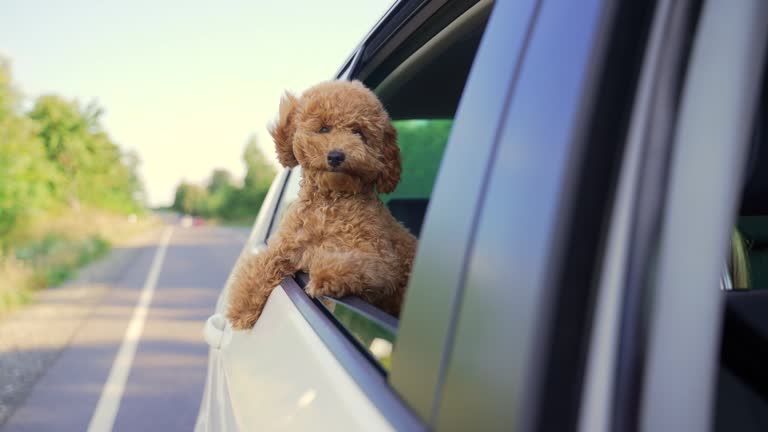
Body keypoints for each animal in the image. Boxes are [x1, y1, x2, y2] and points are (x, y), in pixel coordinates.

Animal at [226, 79, 416, 330]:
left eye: (358, 132)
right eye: (324, 129)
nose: (336, 156)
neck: (330, 202)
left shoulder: (382, 259)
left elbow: (356, 264)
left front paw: (326, 277)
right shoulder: (286, 246)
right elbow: (261, 266)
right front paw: (242, 307)